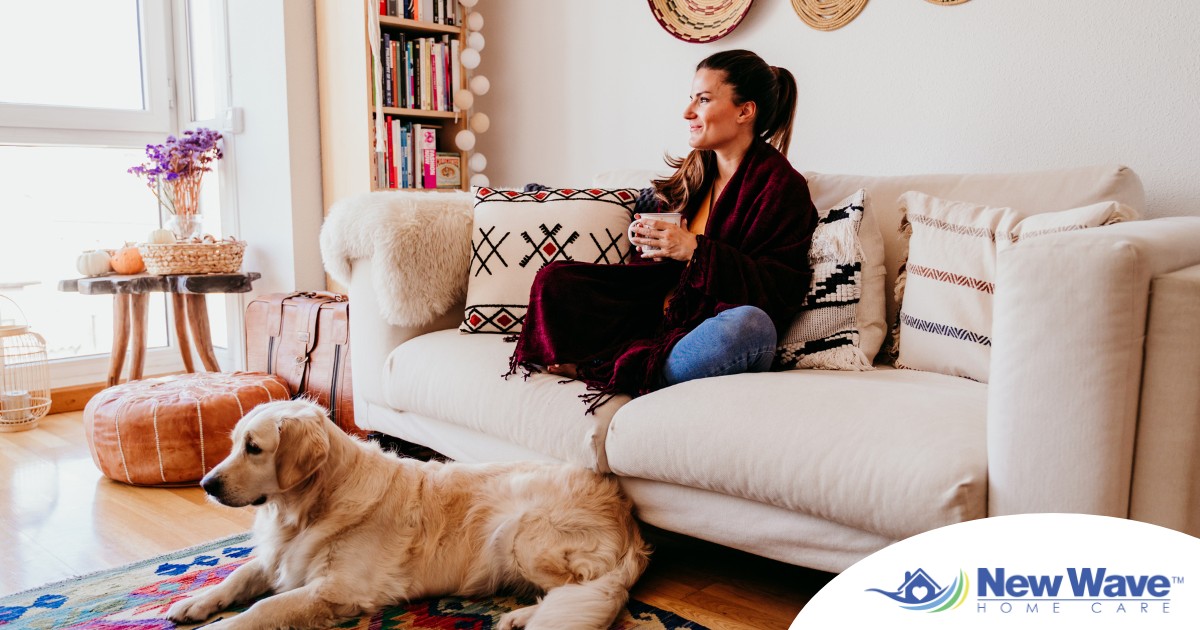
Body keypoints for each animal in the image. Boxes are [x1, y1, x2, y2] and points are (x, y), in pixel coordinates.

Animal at [169, 400, 648, 624]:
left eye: (254, 448)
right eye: (235, 443)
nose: (206, 485)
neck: (311, 507)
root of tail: (625, 513)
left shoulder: (339, 589)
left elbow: (262, 610)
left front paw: (218, 627)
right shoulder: (280, 558)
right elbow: (237, 575)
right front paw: (194, 603)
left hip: (519, 533)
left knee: (584, 591)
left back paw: (521, 617)